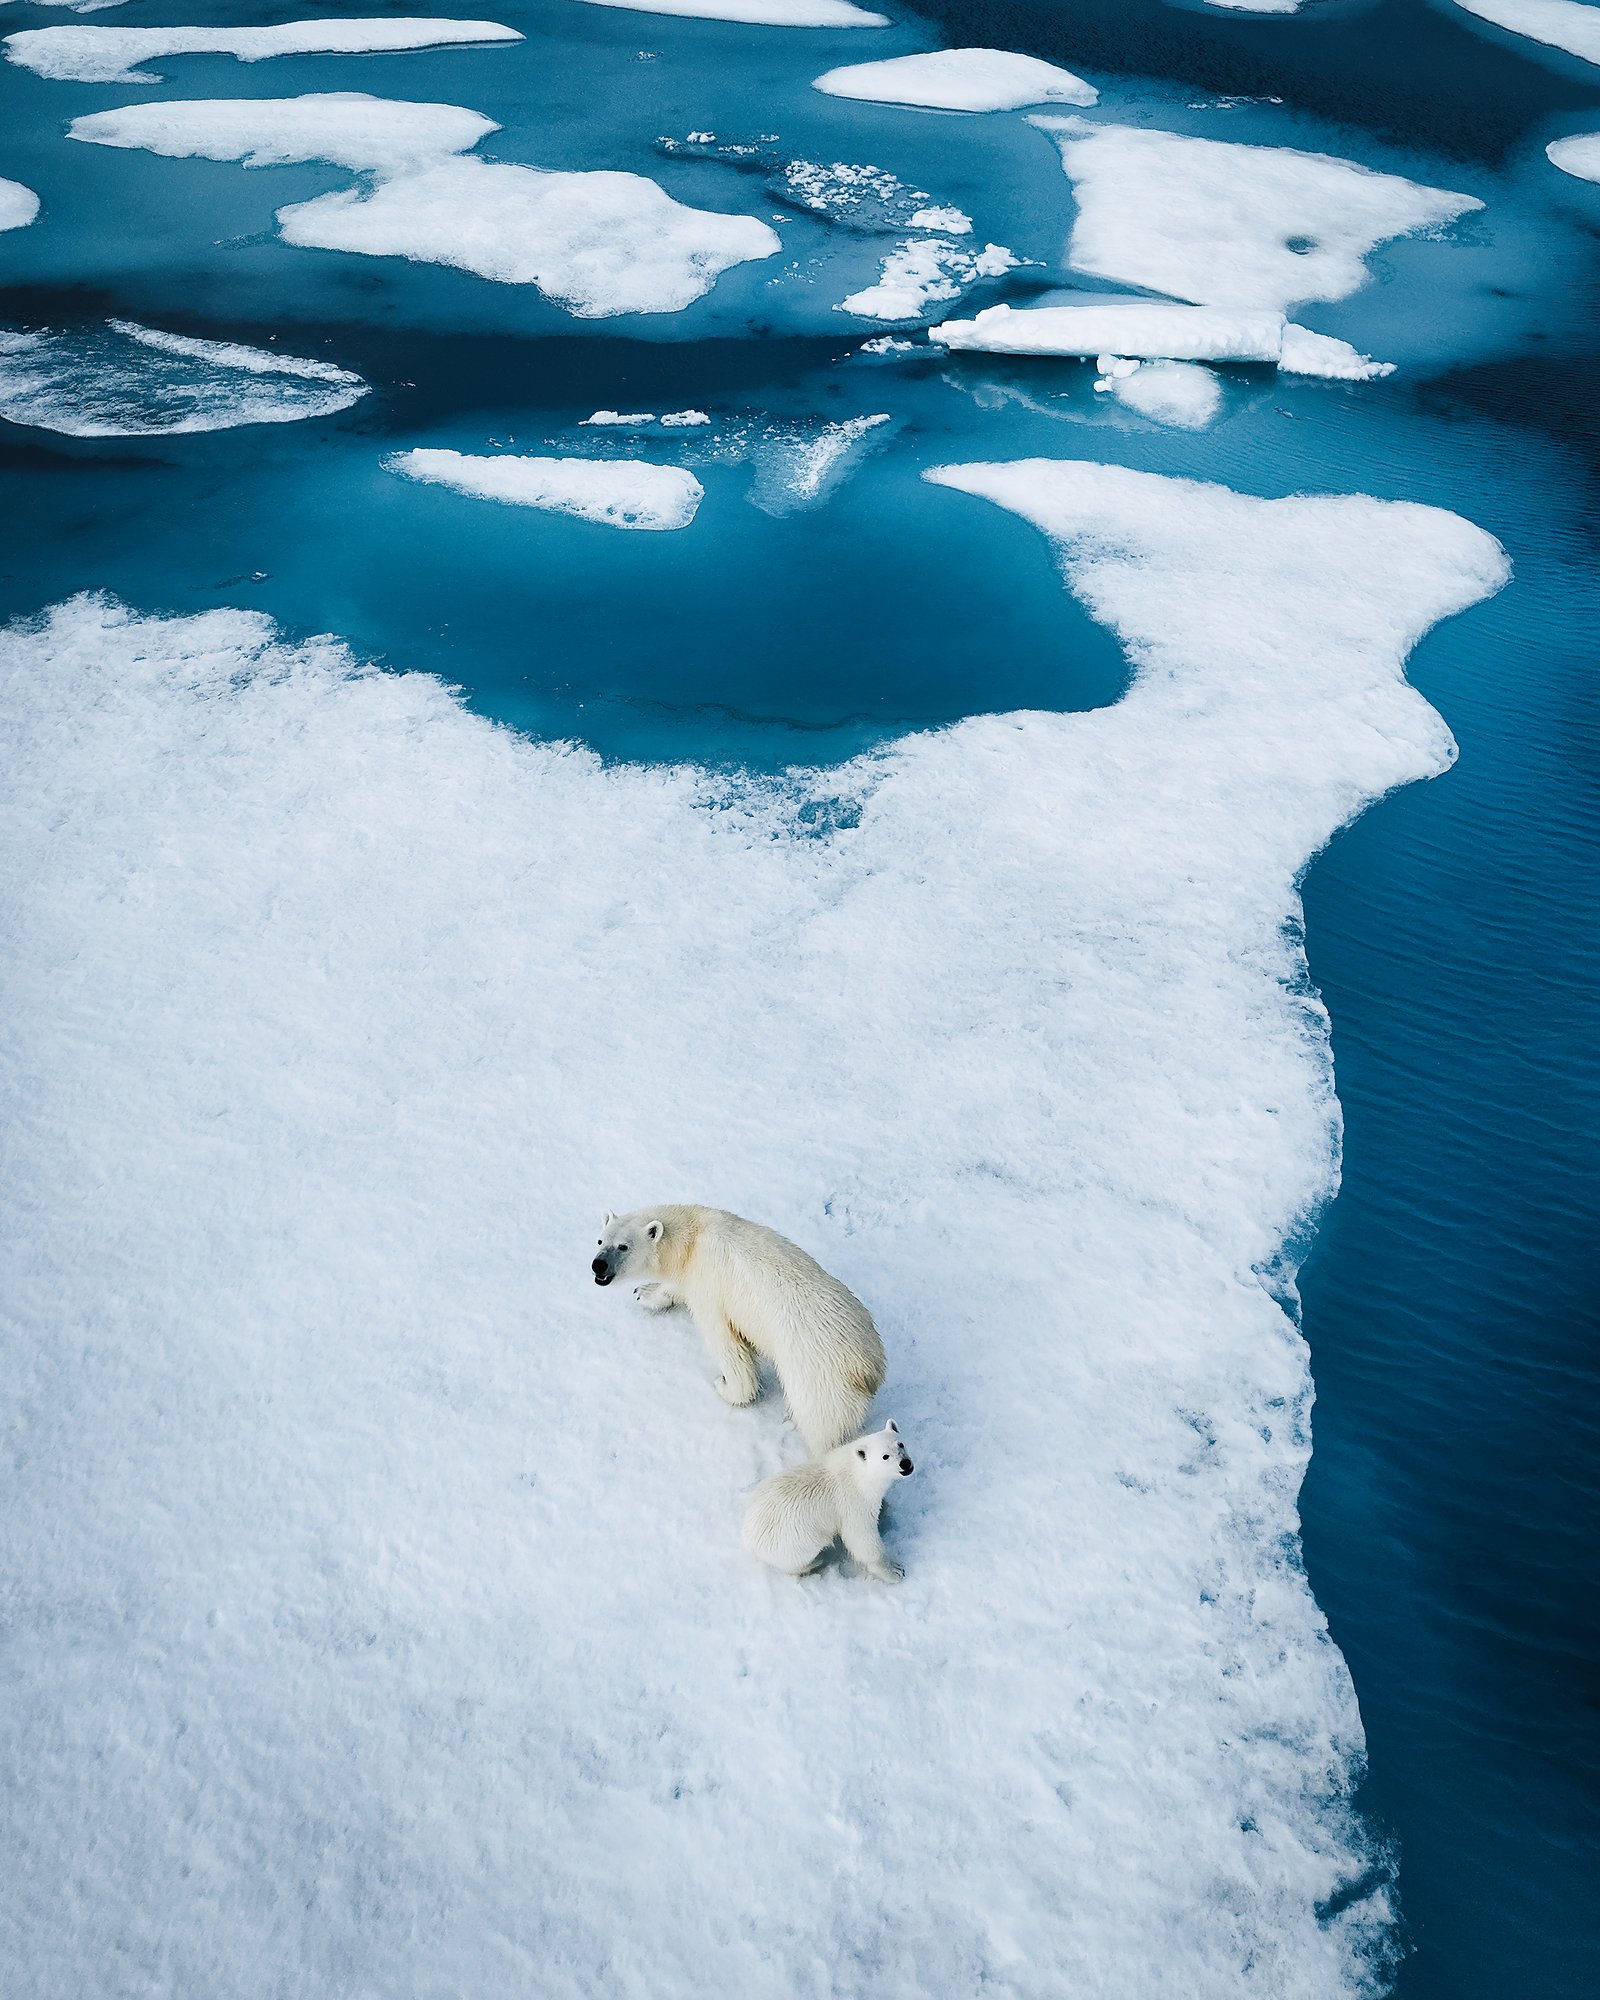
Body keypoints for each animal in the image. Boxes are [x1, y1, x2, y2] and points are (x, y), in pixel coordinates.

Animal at [591, 1204, 886, 1456]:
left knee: (823, 1429)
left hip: (818, 1381)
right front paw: (645, 1292)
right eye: (600, 1241)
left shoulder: (709, 1284)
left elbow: (728, 1346)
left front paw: (725, 1386)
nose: (598, 1265)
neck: (693, 1237)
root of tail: (868, 1368)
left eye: (623, 1246)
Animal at [741, 1420, 914, 1583]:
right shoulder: (853, 1503)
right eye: (885, 1456)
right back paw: (815, 1562)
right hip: (796, 1541)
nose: (905, 1463)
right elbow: (861, 1538)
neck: (859, 1474)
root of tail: (749, 1536)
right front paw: (894, 1570)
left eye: (900, 1444)